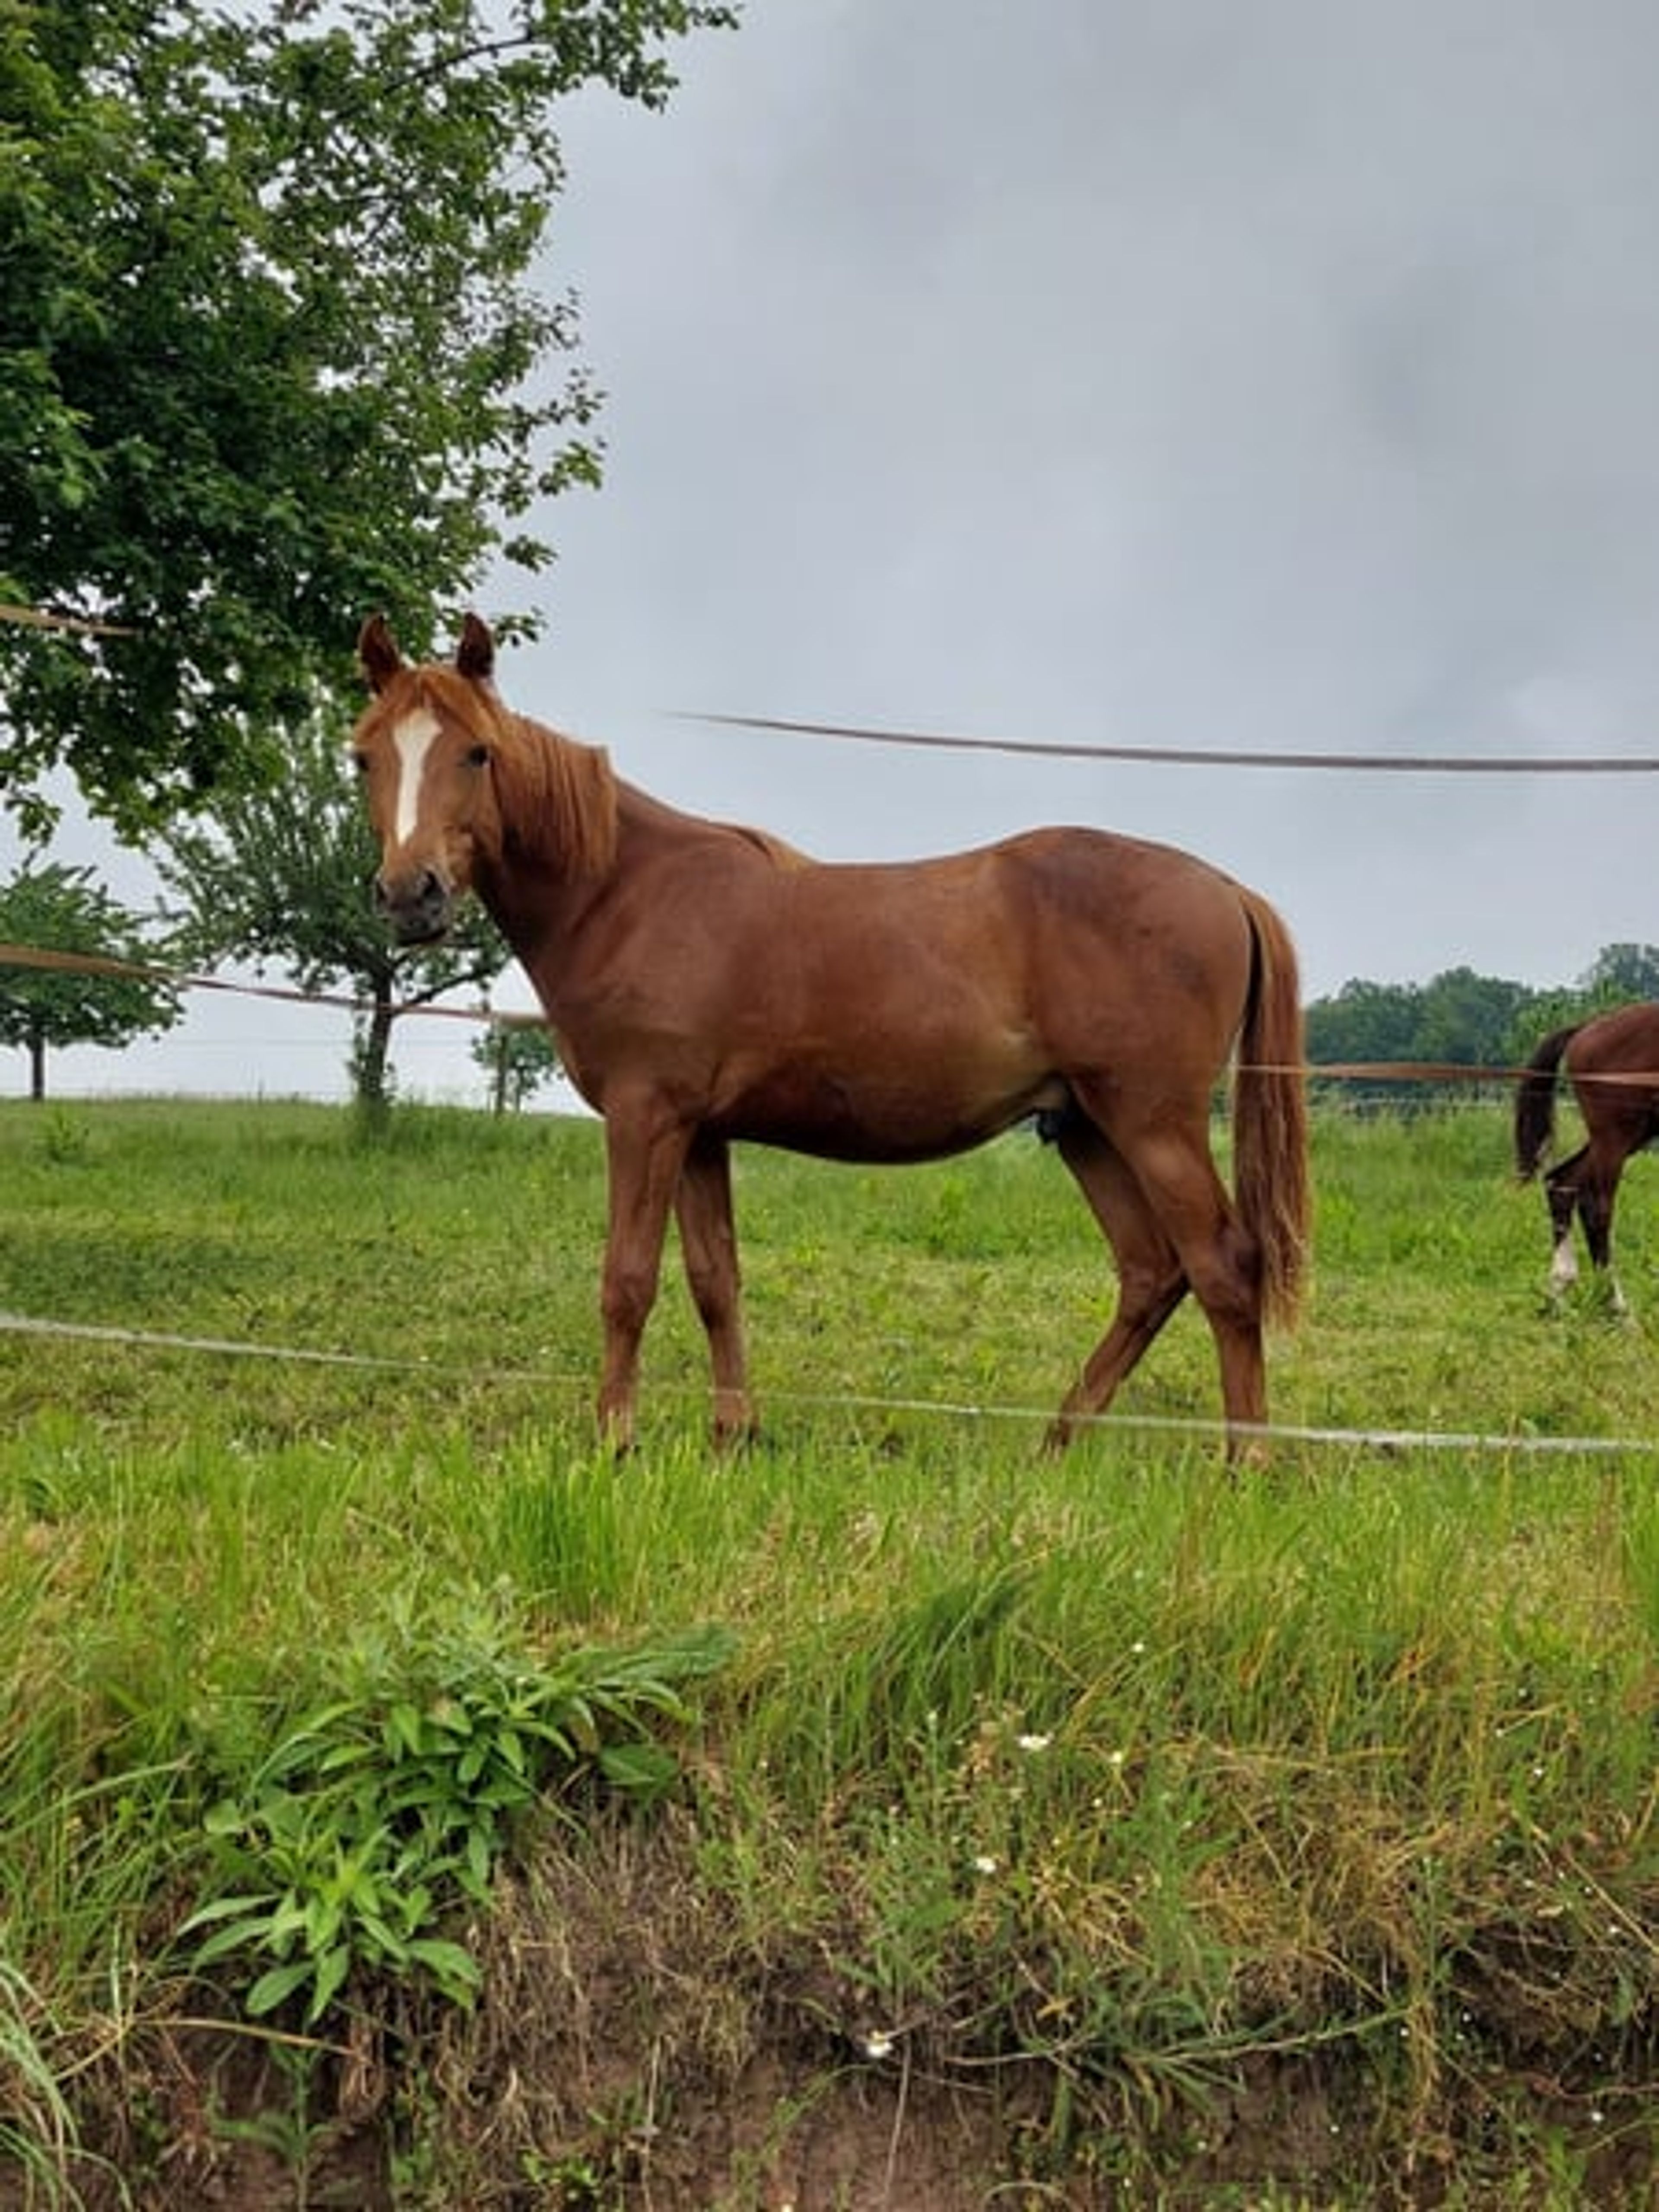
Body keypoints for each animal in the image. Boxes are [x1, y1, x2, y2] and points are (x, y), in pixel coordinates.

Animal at [350, 613, 1310, 1461]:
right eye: (365, 755)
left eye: (476, 752)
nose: (410, 895)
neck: (627, 893)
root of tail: (1226, 889)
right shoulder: (699, 1134)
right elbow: (716, 1283)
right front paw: (733, 1435)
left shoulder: (646, 1118)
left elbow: (627, 1281)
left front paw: (614, 1443)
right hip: (1084, 1128)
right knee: (1152, 1273)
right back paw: (1057, 1443)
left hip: (1152, 1125)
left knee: (1223, 1268)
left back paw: (1247, 1464)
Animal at [1514, 1002, 1659, 1311]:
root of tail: (1586, 1029)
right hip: (1615, 1136)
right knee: (1599, 1209)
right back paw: (1618, 1307)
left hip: (1625, 1136)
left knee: (1562, 1181)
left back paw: (1561, 1289)